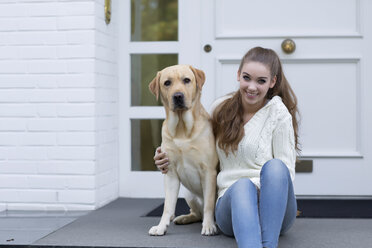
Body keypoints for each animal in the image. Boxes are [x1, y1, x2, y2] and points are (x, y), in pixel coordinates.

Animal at [147, 65, 218, 235]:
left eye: (186, 80)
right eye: (167, 83)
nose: (178, 96)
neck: (181, 129)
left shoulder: (209, 171)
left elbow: (209, 204)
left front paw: (208, 226)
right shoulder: (170, 172)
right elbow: (167, 206)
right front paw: (161, 226)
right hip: (189, 194)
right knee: (197, 213)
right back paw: (184, 218)